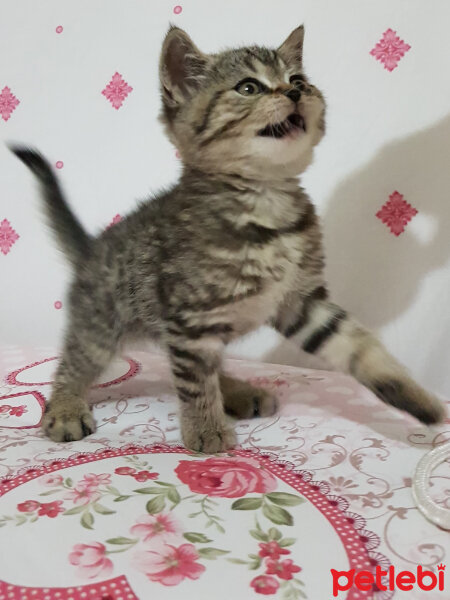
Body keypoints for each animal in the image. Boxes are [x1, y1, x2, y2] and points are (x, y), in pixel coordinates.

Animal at [10, 27, 442, 450]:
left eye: (297, 80)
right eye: (248, 87)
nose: (294, 93)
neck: (265, 201)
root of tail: (92, 246)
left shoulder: (301, 302)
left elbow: (358, 346)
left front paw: (415, 397)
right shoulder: (190, 319)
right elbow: (195, 381)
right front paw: (206, 429)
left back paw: (236, 390)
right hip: (102, 324)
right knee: (76, 363)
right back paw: (66, 406)